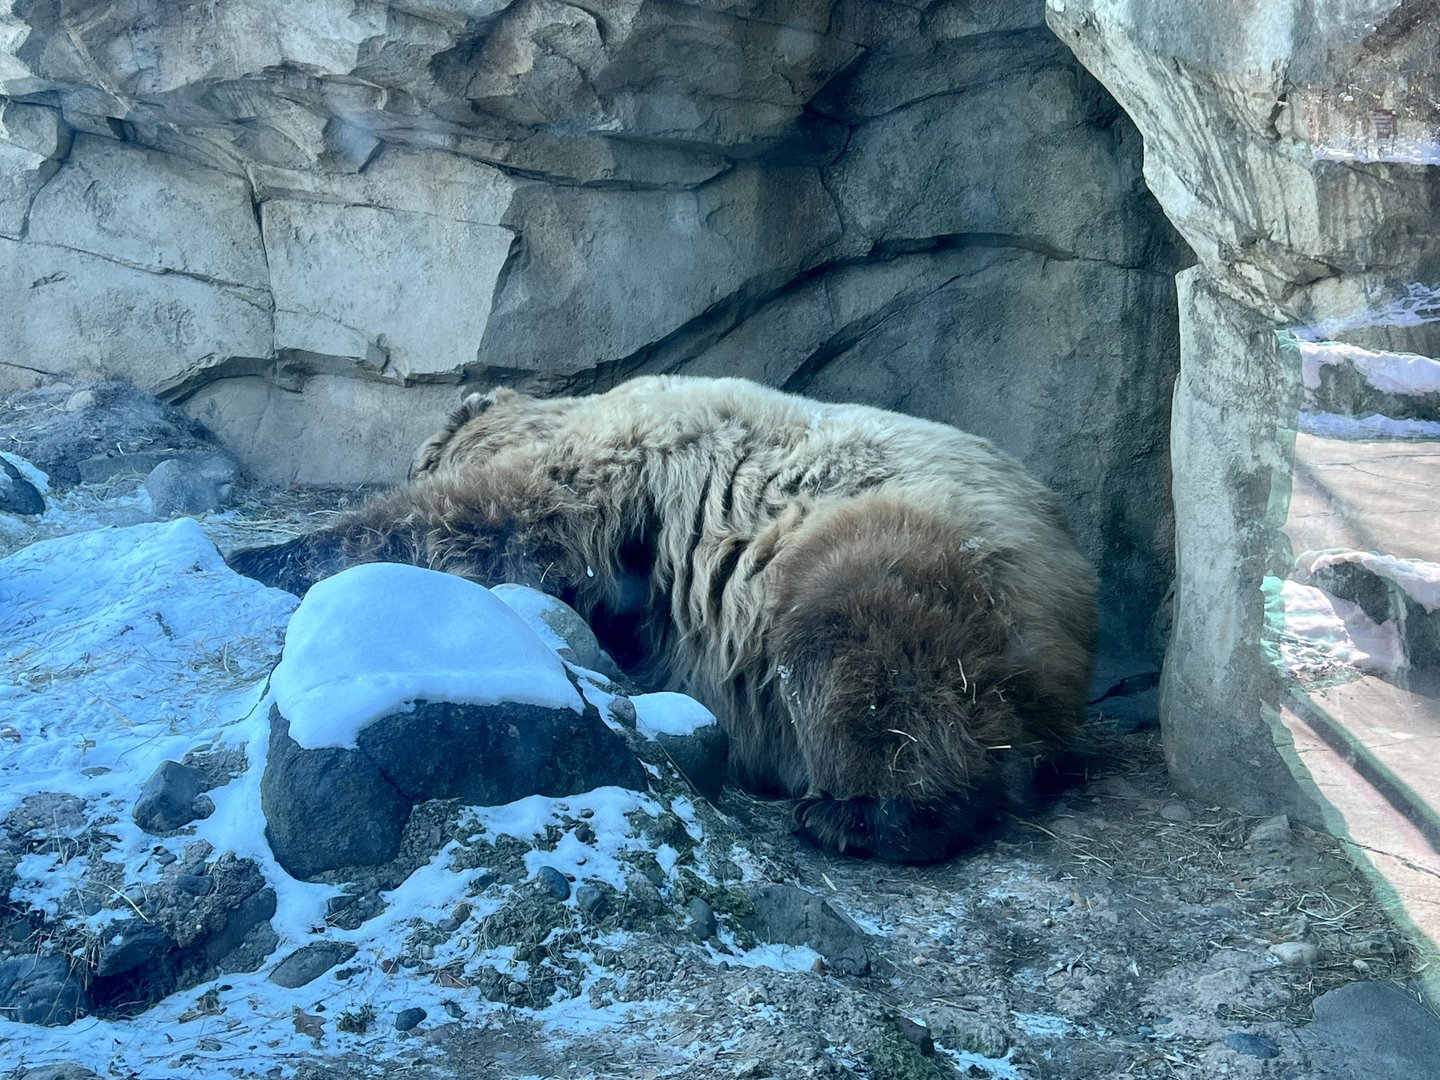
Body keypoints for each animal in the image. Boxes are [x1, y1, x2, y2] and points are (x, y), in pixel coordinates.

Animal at [230, 376, 1097, 864]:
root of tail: (1070, 565)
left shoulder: (610, 464)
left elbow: (492, 517)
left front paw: (261, 554)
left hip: (895, 535)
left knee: (870, 649)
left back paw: (861, 813)